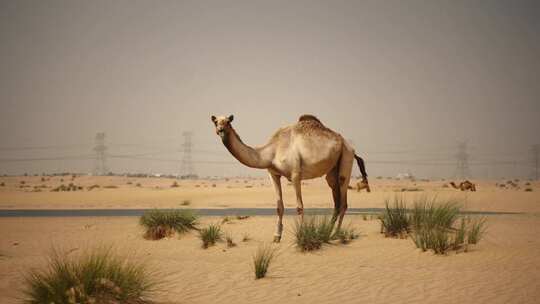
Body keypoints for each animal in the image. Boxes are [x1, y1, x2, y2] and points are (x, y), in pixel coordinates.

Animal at [213, 114, 370, 242]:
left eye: (228, 122)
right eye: (215, 122)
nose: (220, 130)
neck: (271, 152)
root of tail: (350, 146)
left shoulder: (295, 175)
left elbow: (299, 207)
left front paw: (301, 234)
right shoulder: (273, 174)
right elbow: (279, 207)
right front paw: (276, 236)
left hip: (346, 157)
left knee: (343, 200)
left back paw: (336, 234)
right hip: (333, 170)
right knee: (336, 201)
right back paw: (328, 233)